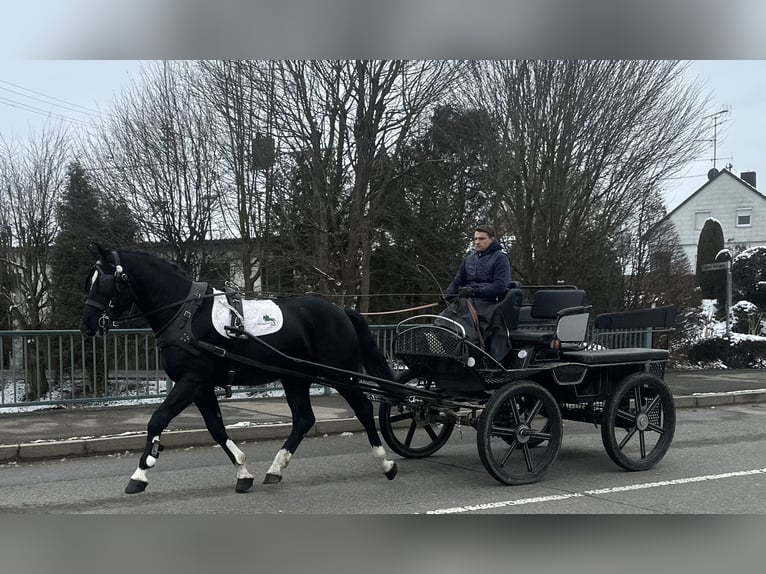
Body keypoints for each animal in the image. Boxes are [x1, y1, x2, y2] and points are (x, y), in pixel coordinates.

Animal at [81, 244, 400, 496]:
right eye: (90, 281)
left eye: (104, 283)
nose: (87, 325)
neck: (185, 314)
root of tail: (341, 311)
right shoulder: (202, 387)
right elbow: (216, 428)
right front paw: (243, 473)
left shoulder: (192, 381)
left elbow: (158, 419)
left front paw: (141, 472)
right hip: (294, 378)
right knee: (303, 419)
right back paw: (276, 469)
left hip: (341, 373)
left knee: (362, 409)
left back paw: (385, 462)